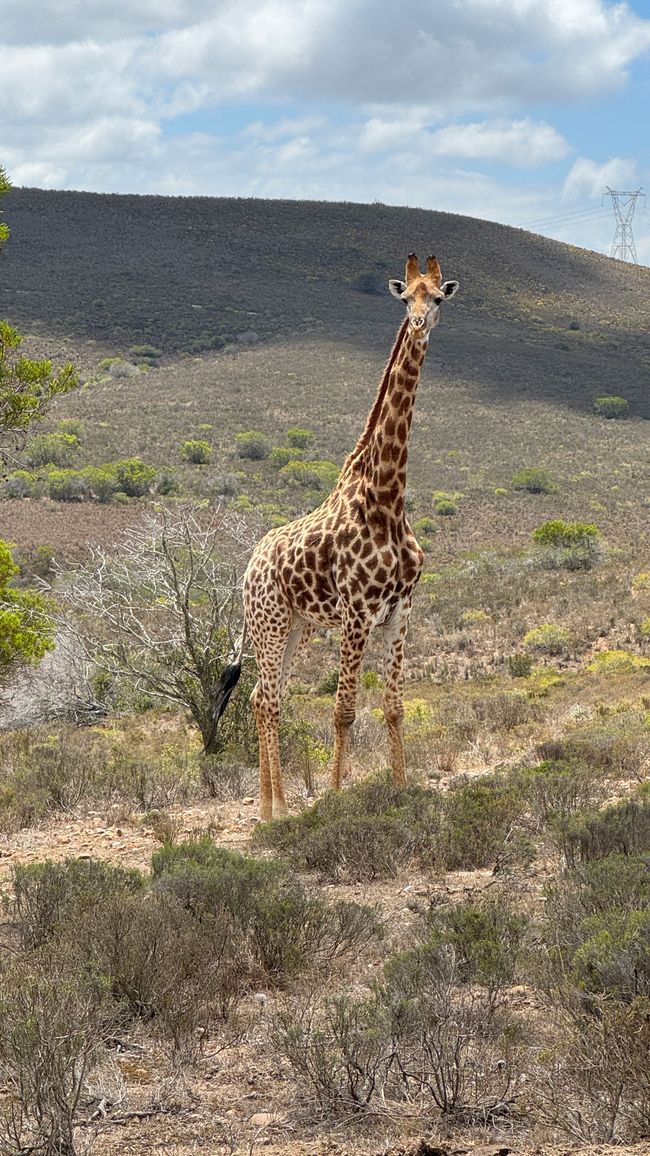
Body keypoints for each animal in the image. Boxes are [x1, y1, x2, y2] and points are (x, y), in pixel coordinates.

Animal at [215, 253, 459, 819]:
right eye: (405, 297)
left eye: (438, 297)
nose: (420, 325)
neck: (387, 499)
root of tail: (248, 568)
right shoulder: (356, 611)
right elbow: (344, 709)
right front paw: (334, 796)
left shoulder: (400, 610)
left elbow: (394, 707)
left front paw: (400, 789)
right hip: (270, 621)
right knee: (269, 698)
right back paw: (276, 810)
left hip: (297, 626)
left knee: (262, 696)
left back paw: (272, 806)